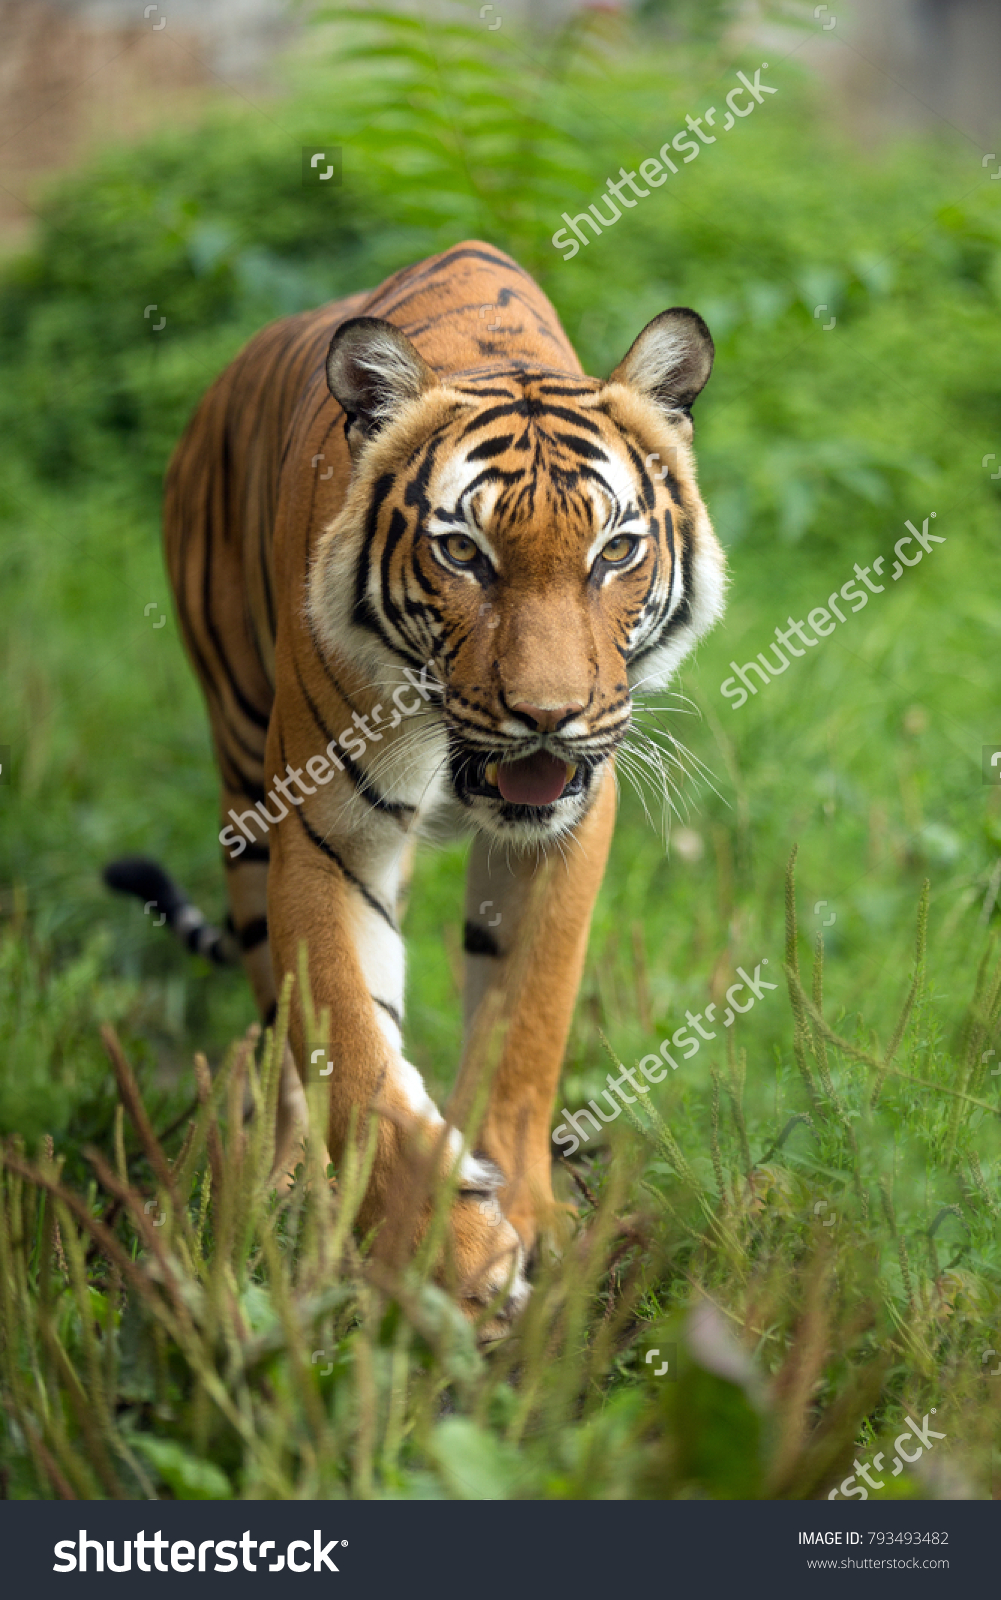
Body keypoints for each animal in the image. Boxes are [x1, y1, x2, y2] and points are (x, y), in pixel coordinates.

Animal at [105, 240, 719, 1337]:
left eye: (614, 550)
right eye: (462, 552)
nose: (547, 716)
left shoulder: (566, 825)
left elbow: (526, 1023)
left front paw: (522, 1211)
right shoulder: (321, 831)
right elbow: (349, 1046)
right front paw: (453, 1254)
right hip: (242, 787)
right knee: (286, 1032)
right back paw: (297, 1191)